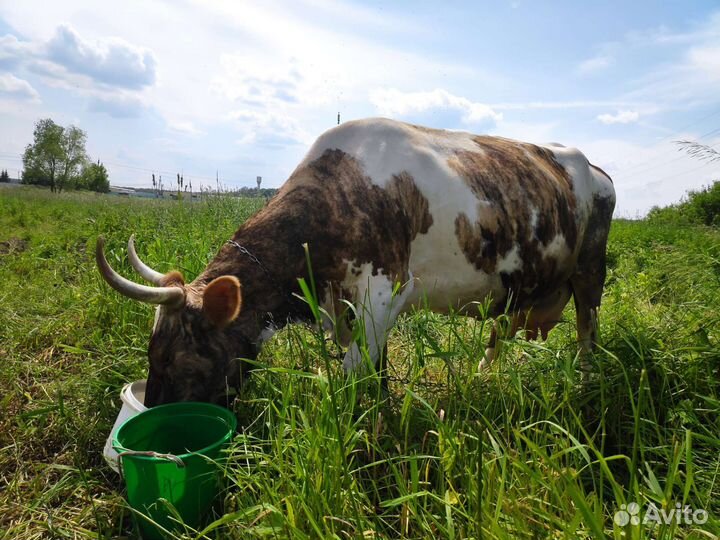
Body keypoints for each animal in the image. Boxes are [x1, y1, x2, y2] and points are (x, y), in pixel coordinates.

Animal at [96, 118, 616, 407]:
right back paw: (483, 377)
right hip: (518, 288)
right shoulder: (350, 306)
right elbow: (375, 369)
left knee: (587, 332)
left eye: (172, 357)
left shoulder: (386, 293)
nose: (153, 410)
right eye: (151, 354)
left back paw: (585, 384)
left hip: (591, 272)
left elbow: (350, 374)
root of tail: (593, 166)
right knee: (500, 332)